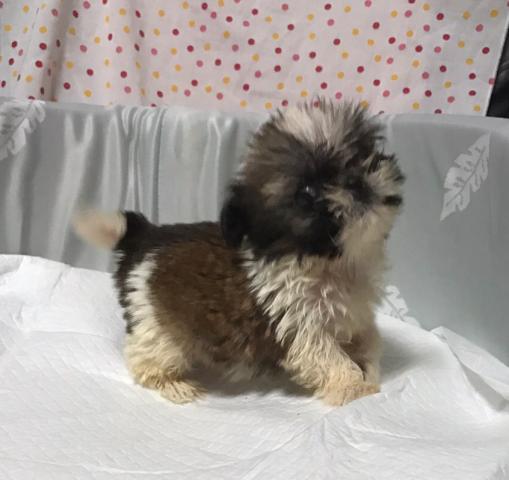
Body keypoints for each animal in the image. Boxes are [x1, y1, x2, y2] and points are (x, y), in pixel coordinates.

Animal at [74, 99, 404, 405]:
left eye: (362, 153)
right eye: (307, 192)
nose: (355, 181)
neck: (333, 263)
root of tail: (146, 235)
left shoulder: (357, 316)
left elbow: (369, 342)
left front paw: (369, 372)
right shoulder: (298, 325)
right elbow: (330, 358)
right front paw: (354, 388)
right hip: (157, 328)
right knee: (145, 360)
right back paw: (174, 385)